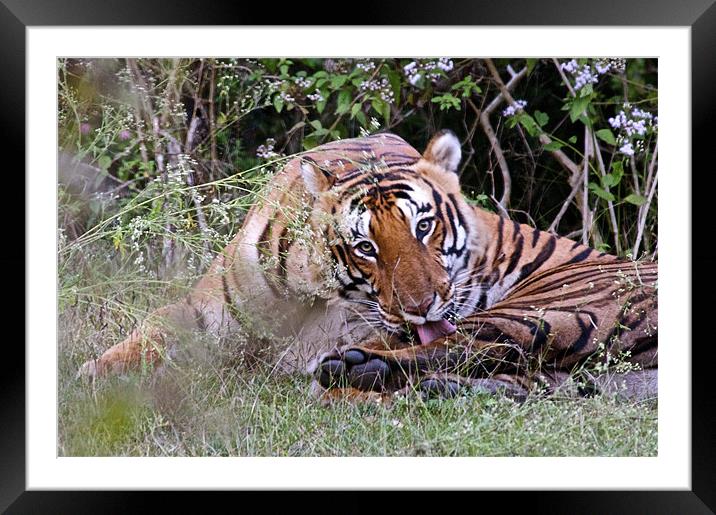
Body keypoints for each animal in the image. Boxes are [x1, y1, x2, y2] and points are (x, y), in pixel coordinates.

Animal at [77, 130, 656, 404]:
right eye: (365, 247)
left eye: (425, 226)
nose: (423, 306)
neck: (312, 292)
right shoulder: (209, 309)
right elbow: (151, 332)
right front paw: (97, 375)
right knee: (524, 375)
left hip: (556, 305)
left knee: (479, 346)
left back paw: (354, 373)